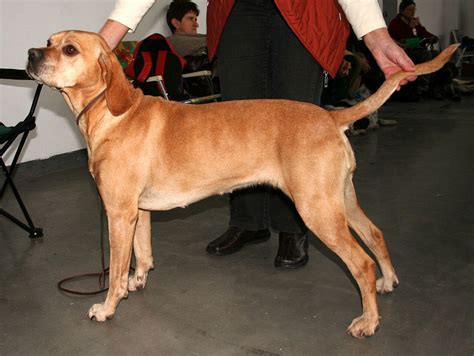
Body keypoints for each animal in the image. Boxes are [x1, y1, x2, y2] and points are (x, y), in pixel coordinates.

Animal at [26, 29, 460, 336]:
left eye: (69, 49)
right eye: (48, 42)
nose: (31, 54)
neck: (112, 112)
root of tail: (329, 116)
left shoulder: (118, 212)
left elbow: (116, 269)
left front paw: (108, 306)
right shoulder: (139, 211)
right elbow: (142, 256)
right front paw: (137, 282)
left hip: (317, 210)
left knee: (361, 263)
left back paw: (368, 322)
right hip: (341, 201)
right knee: (376, 235)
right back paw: (388, 280)